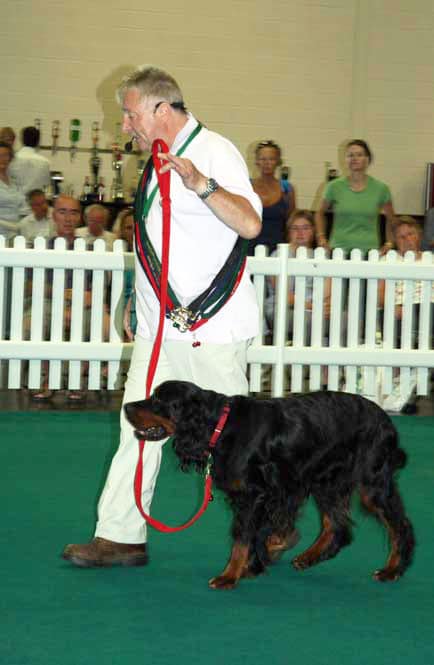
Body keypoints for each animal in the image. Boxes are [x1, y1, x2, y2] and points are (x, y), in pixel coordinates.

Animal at [124, 382, 416, 588]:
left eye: (158, 400)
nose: (127, 407)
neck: (220, 425)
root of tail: (386, 420)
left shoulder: (253, 494)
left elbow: (242, 537)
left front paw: (230, 575)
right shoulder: (266, 494)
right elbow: (256, 534)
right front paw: (253, 566)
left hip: (371, 483)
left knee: (399, 525)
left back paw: (392, 570)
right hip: (325, 480)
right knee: (337, 525)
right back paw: (309, 557)